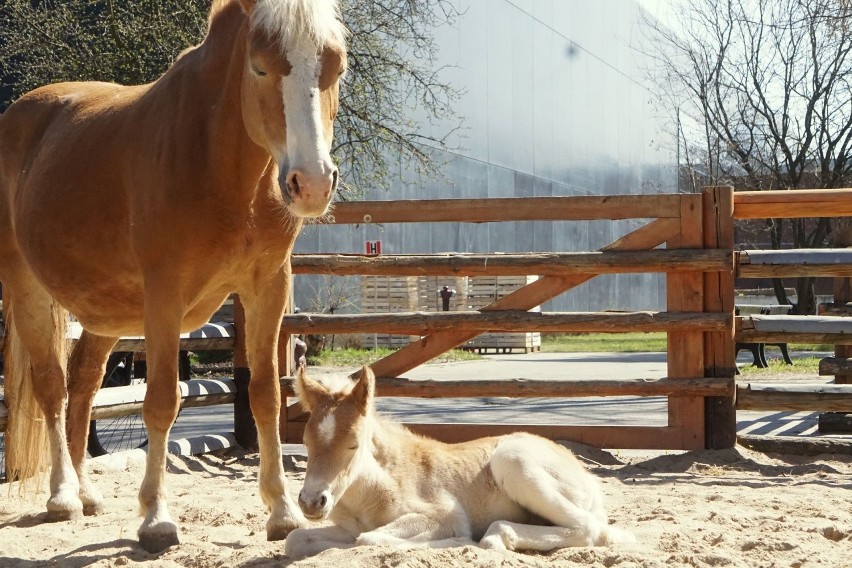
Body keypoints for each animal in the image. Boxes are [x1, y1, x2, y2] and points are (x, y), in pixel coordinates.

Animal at [0, 0, 346, 552]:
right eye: (259, 67)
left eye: (336, 67)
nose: (310, 184)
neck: (222, 166)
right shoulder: (164, 295)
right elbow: (162, 401)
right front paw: (156, 519)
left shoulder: (268, 287)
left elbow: (267, 395)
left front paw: (282, 511)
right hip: (27, 287)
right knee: (52, 387)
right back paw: (63, 496)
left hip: (106, 311)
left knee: (84, 386)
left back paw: (87, 491)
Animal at [286, 366, 632, 556]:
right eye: (305, 442)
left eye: (353, 445)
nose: (311, 502)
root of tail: (588, 477)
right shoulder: (347, 527)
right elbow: (296, 539)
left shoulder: (444, 514)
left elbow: (369, 539)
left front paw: (457, 541)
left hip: (512, 460)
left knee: (592, 529)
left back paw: (493, 537)